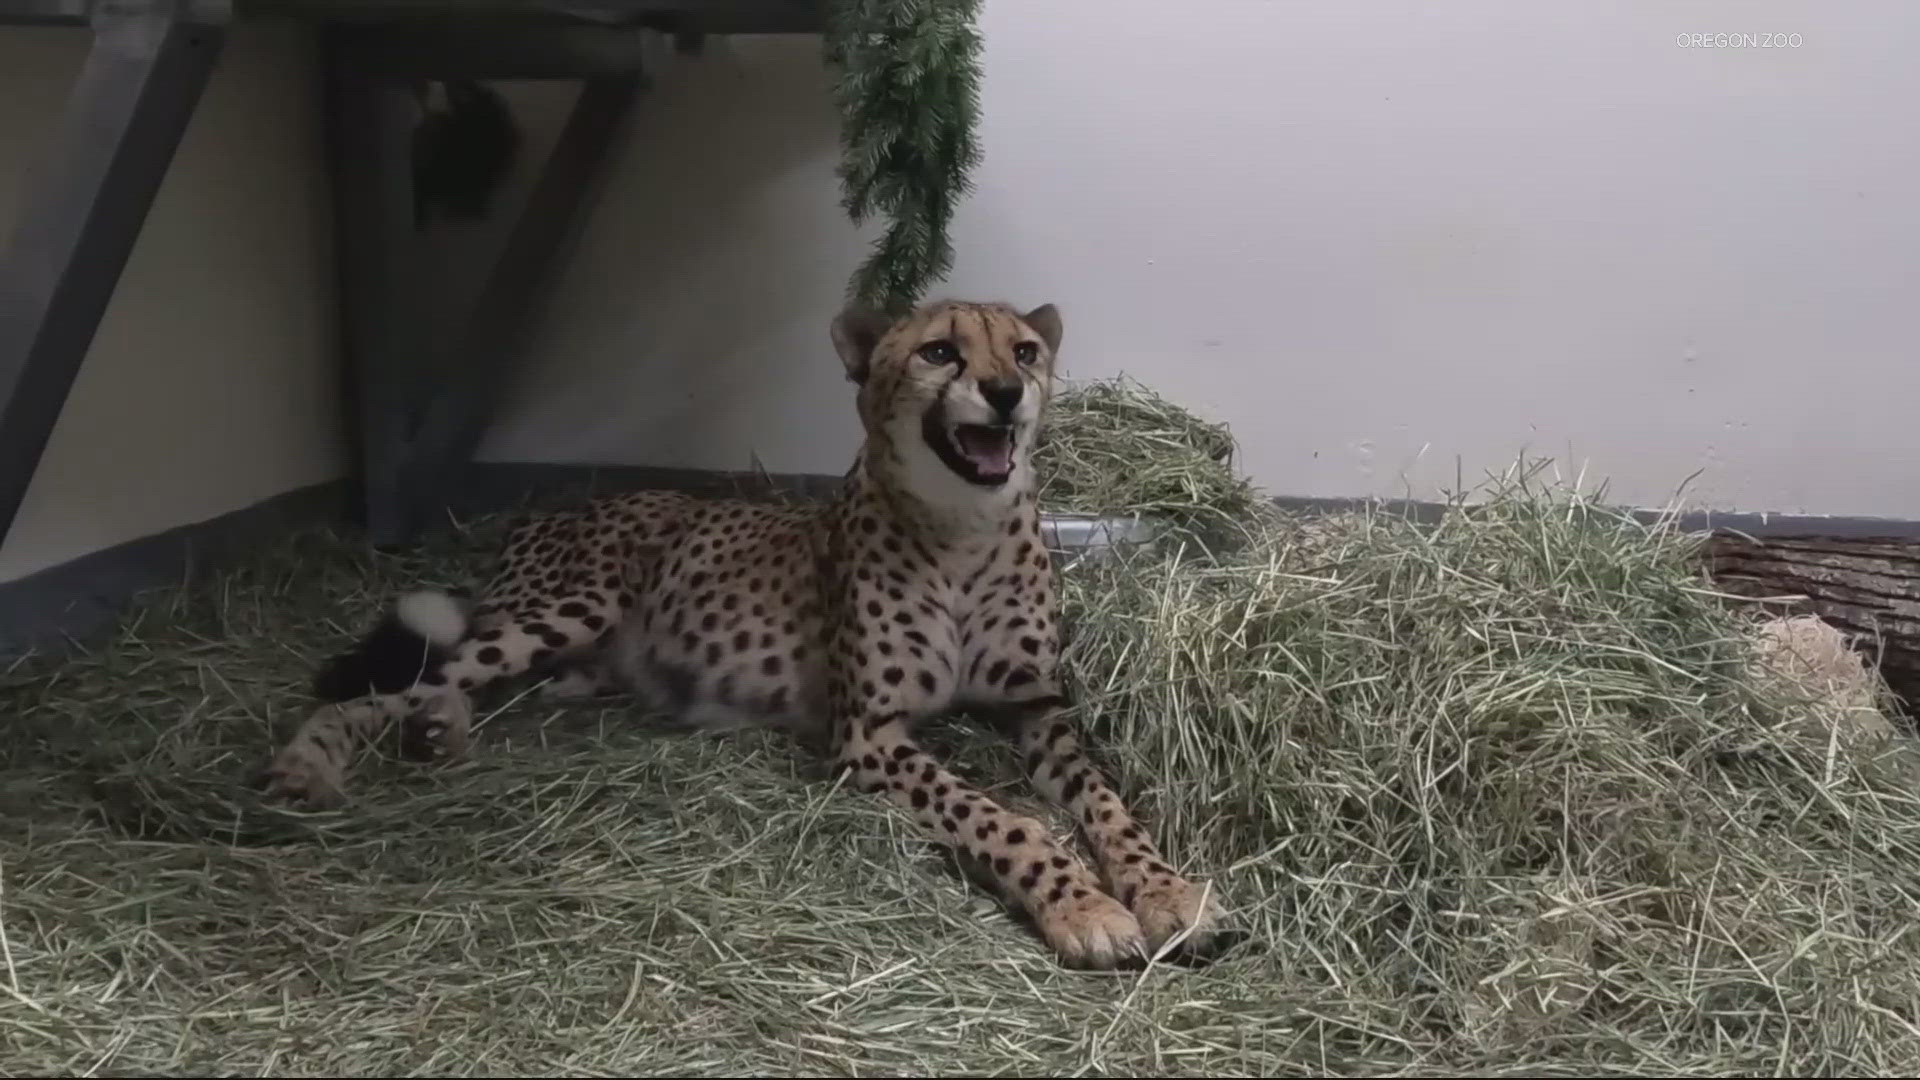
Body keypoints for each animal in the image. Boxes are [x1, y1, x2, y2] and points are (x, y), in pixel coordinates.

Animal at [261, 298, 1225, 969]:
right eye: (940, 351)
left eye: (1024, 350)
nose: (1006, 393)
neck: (964, 530)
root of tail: (563, 508)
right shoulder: (868, 734)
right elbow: (1005, 819)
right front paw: (1084, 907)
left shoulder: (1037, 708)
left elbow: (1108, 803)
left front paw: (1169, 892)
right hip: (570, 607)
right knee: (404, 683)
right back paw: (314, 764)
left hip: (581, 661)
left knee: (473, 684)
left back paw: (441, 733)